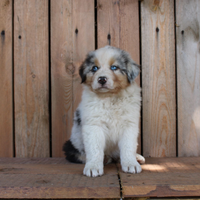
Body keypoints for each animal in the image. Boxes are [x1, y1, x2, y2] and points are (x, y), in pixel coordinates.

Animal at [63, 45, 145, 177]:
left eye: (114, 67)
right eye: (94, 68)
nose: (102, 79)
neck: (110, 97)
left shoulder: (129, 125)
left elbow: (128, 146)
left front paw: (131, 164)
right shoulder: (94, 125)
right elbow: (95, 148)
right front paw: (93, 167)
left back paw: (136, 157)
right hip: (74, 142)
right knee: (78, 154)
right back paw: (104, 159)